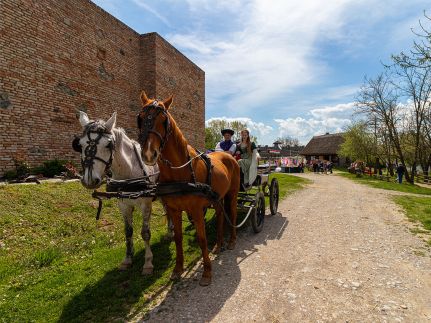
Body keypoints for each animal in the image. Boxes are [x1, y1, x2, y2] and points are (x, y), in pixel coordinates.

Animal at [74, 112, 164, 276]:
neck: (128, 172)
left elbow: (145, 233)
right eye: (80, 144)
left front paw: (148, 262)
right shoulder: (123, 205)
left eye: (108, 145)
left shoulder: (145, 205)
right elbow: (128, 232)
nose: (90, 180)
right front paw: (127, 259)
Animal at [138, 91, 241, 286]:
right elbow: (178, 239)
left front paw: (207, 272)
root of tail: (228, 156)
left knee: (231, 214)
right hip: (217, 197)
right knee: (220, 216)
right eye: (139, 118)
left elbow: (202, 239)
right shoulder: (174, 209)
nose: (148, 154)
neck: (180, 172)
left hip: (232, 195)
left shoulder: (196, 209)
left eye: (164, 120)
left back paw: (232, 241)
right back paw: (218, 245)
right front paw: (178, 269)